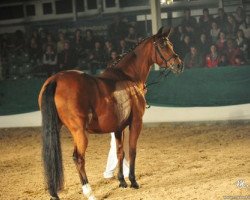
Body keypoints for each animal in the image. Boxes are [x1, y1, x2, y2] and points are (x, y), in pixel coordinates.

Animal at [38, 27, 184, 199]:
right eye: (162, 45)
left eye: (171, 44)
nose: (179, 65)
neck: (128, 77)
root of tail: (56, 79)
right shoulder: (136, 122)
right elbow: (132, 150)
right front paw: (133, 181)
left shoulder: (118, 128)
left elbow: (120, 152)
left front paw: (122, 181)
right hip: (79, 132)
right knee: (78, 158)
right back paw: (89, 192)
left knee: (51, 156)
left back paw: (54, 193)